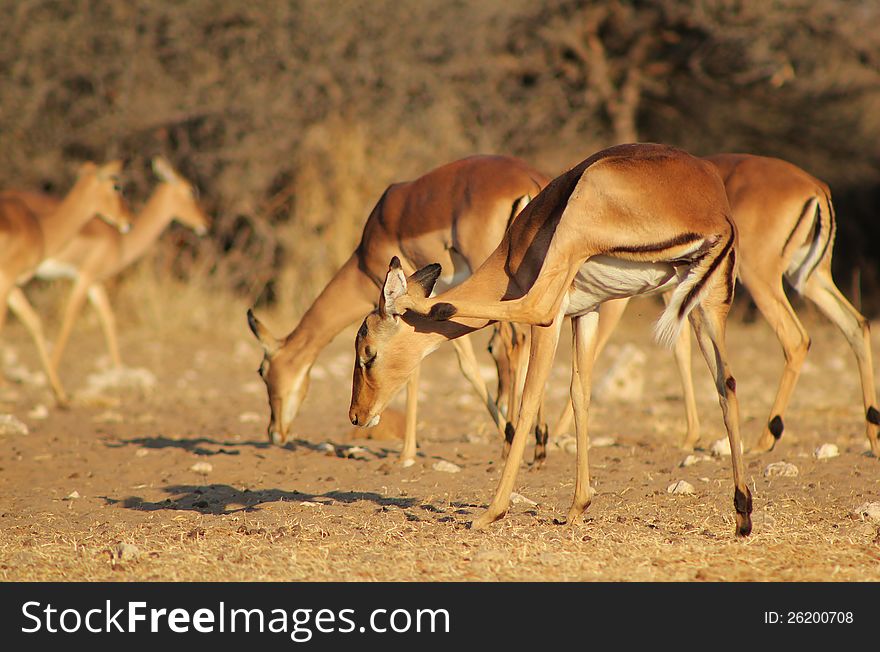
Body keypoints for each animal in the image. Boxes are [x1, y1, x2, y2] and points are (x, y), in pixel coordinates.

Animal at [0, 161, 131, 404]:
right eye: (116, 186)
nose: (127, 221)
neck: (40, 229)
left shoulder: (13, 287)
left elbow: (34, 322)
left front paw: (60, 394)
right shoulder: (7, 280)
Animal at [15, 155, 213, 374]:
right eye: (191, 191)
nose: (206, 222)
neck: (120, 243)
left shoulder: (95, 283)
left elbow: (108, 319)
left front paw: (119, 371)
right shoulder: (85, 277)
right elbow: (70, 318)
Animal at [248, 155, 548, 464]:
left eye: (262, 371)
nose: (274, 432)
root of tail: (529, 179)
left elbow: (428, 366)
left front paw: (406, 454)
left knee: (516, 340)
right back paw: (540, 444)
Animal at [348, 144, 752, 536]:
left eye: (368, 353)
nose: (356, 415)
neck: (512, 252)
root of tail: (717, 213)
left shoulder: (558, 318)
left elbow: (531, 397)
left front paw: (495, 512)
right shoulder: (587, 314)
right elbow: (580, 393)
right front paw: (578, 507)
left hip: (573, 246)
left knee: (535, 306)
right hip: (708, 306)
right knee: (727, 383)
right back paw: (743, 513)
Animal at [552, 155, 880, 456]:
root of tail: (815, 186)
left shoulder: (613, 299)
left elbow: (594, 351)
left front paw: (555, 433)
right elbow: (681, 349)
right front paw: (690, 436)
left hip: (760, 277)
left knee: (796, 339)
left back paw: (765, 439)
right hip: (809, 277)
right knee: (856, 324)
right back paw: (872, 436)